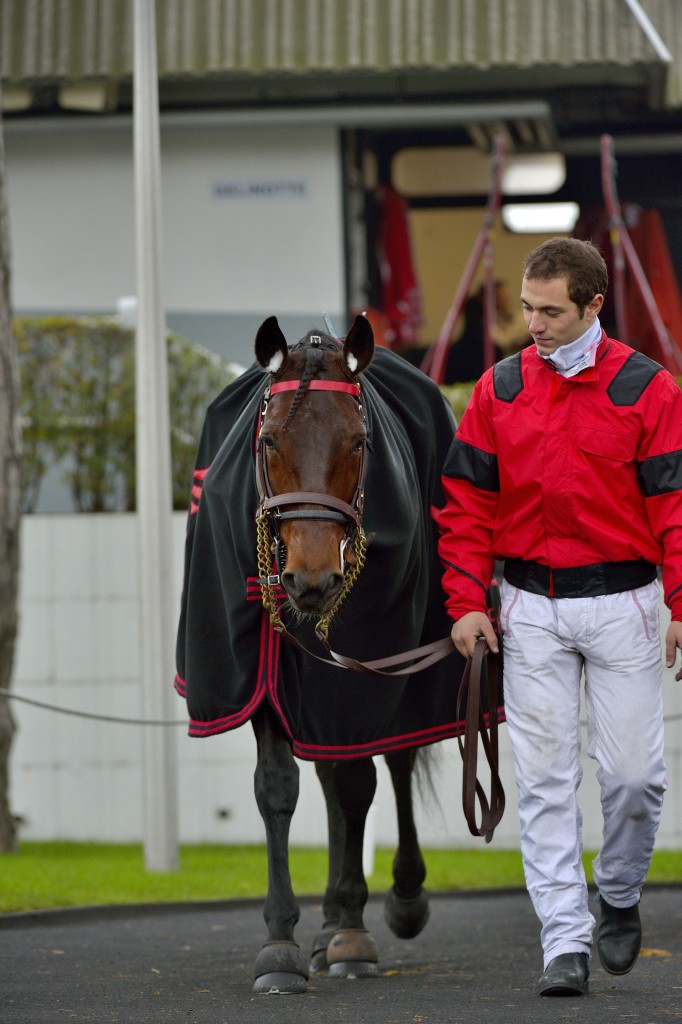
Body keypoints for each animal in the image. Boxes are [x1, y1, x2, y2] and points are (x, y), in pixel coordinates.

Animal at [175, 317, 499, 991]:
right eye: (269, 440)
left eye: (357, 442)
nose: (312, 578)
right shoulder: (268, 678)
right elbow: (279, 788)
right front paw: (281, 943)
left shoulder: (363, 676)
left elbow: (356, 785)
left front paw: (351, 930)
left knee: (392, 762)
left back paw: (396, 900)